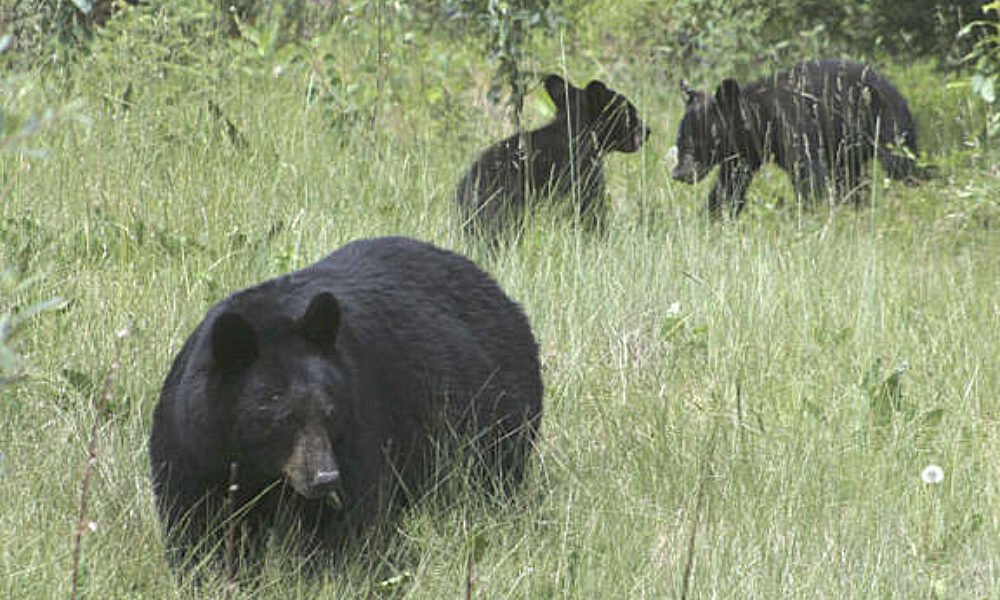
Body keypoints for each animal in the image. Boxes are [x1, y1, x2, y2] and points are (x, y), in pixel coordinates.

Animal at [149, 236, 543, 572]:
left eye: (330, 412)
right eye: (280, 419)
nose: (324, 477)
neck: (258, 467)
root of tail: (497, 291)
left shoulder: (356, 426)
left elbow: (345, 523)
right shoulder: (194, 446)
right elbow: (200, 526)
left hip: (493, 425)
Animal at [671, 60, 926, 217]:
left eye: (694, 143)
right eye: (680, 139)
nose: (678, 174)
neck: (761, 119)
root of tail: (894, 88)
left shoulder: (795, 127)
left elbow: (809, 177)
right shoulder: (742, 154)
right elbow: (730, 186)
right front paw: (712, 217)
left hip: (888, 122)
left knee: (901, 165)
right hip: (848, 149)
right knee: (850, 180)